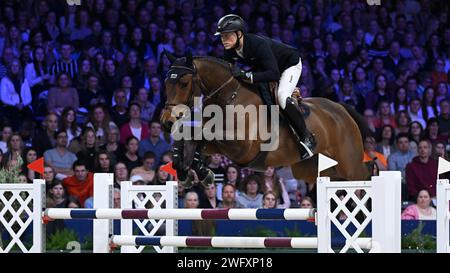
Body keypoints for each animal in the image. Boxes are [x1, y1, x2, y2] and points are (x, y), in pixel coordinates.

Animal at [160, 52, 370, 185]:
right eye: (166, 82)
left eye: (183, 82)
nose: (166, 122)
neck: (229, 97)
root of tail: (340, 109)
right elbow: (195, 135)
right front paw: (186, 169)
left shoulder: (242, 148)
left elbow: (203, 135)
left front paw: (198, 171)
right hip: (312, 170)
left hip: (350, 168)